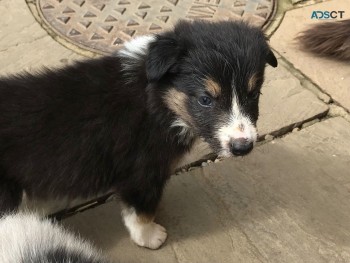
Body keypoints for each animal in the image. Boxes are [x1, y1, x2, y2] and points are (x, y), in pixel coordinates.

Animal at [0, 20, 278, 250]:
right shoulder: (141, 171)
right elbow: (141, 210)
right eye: (205, 99)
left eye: (254, 94)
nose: (243, 147)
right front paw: (150, 236)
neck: (157, 99)